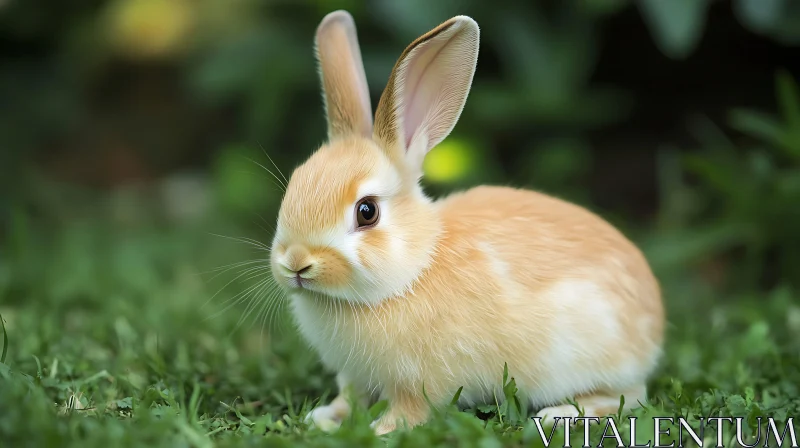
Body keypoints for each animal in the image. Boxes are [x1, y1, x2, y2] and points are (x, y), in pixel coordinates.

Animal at [268, 9, 664, 434]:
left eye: (367, 211)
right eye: (294, 184)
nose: (296, 262)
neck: (414, 270)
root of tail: (654, 320)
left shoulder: (421, 382)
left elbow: (411, 410)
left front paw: (379, 431)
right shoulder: (354, 376)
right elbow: (349, 398)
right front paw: (325, 418)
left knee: (629, 396)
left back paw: (561, 415)